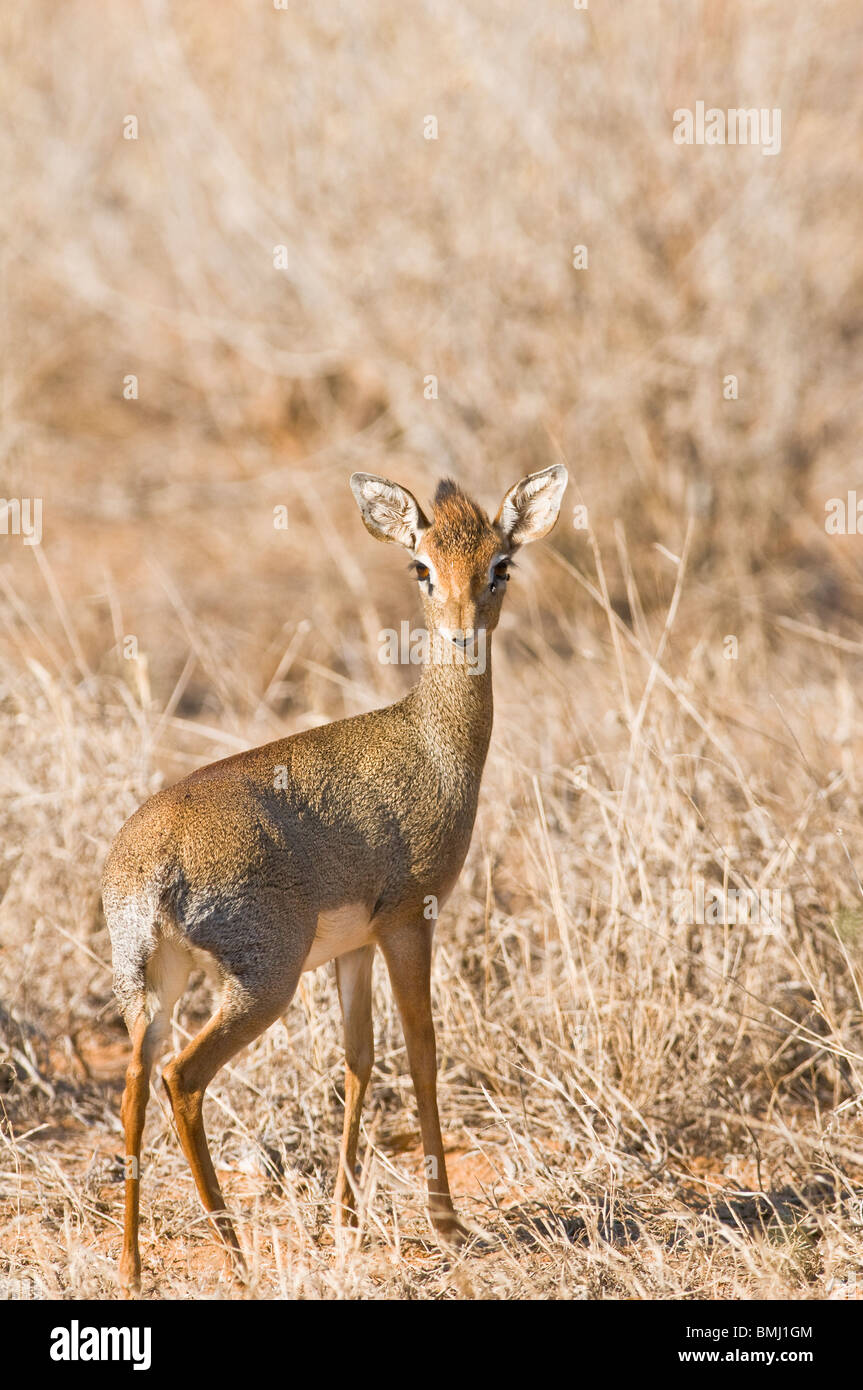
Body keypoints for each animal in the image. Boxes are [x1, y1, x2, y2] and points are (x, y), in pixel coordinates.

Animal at [102, 467, 564, 1289]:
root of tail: (151, 865)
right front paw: (446, 1222)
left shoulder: (353, 946)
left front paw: (345, 1223)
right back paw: (235, 1254)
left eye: (500, 563)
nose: (460, 632)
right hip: (263, 984)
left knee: (132, 1083)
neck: (430, 742)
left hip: (153, 985)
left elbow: (358, 1059)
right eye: (421, 566)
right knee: (181, 1077)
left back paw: (132, 1268)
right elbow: (422, 1050)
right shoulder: (411, 918)